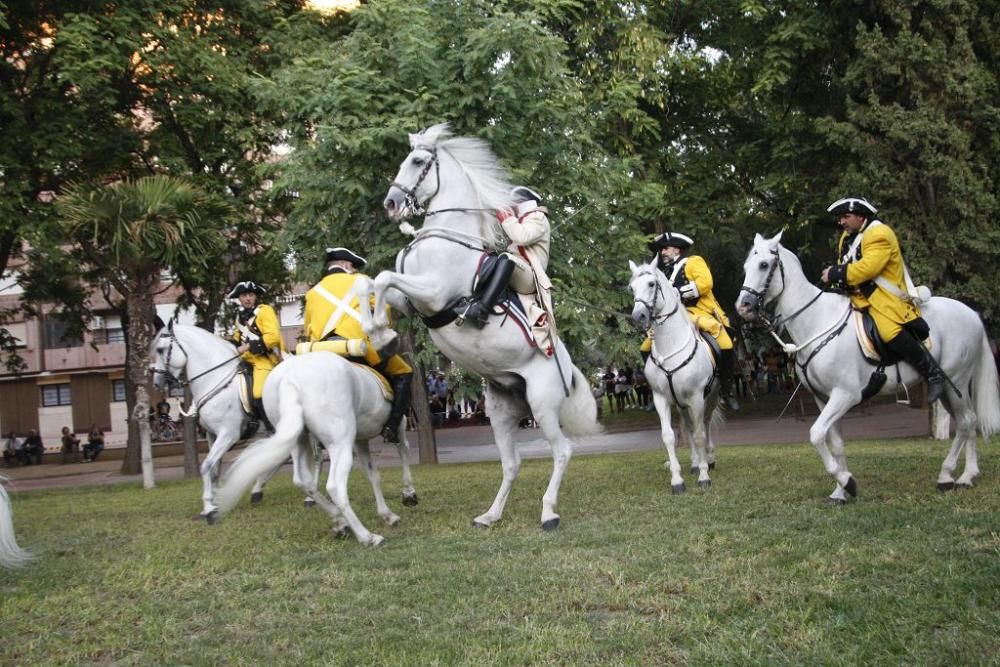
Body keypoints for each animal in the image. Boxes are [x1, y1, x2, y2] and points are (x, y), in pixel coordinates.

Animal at [149, 324, 418, 520]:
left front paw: (209, 506)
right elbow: (213, 468)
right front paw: (213, 500)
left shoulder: (228, 434)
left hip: (390, 424)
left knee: (402, 448)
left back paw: (407, 492)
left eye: (161, 349)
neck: (217, 379)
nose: (158, 383)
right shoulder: (211, 435)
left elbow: (206, 466)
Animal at [372, 122, 596, 532]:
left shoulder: (432, 293)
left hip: (542, 405)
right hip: (502, 410)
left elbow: (381, 279)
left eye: (418, 161)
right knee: (512, 463)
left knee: (562, 451)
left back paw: (548, 513)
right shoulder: (411, 300)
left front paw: (380, 331)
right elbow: (374, 285)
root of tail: (568, 366)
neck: (446, 235)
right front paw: (379, 331)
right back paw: (490, 515)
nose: (392, 204)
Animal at [628, 258, 724, 494]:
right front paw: (677, 480)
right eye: (631, 288)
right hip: (681, 405)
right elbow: (669, 437)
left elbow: (699, 435)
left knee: (705, 424)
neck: (669, 346)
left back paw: (708, 460)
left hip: (711, 397)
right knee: (688, 427)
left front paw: (704, 477)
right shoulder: (661, 398)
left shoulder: (697, 397)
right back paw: (695, 463)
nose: (637, 317)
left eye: (652, 284)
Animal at [736, 234, 1000, 500]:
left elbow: (816, 434)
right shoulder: (823, 398)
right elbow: (835, 443)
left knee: (966, 422)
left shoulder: (845, 395)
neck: (817, 321)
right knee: (970, 421)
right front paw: (840, 491)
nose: (743, 306)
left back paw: (948, 475)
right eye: (745, 267)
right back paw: (968, 475)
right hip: (949, 390)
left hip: (955, 382)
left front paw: (847, 482)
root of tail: (971, 314)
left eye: (764, 265)